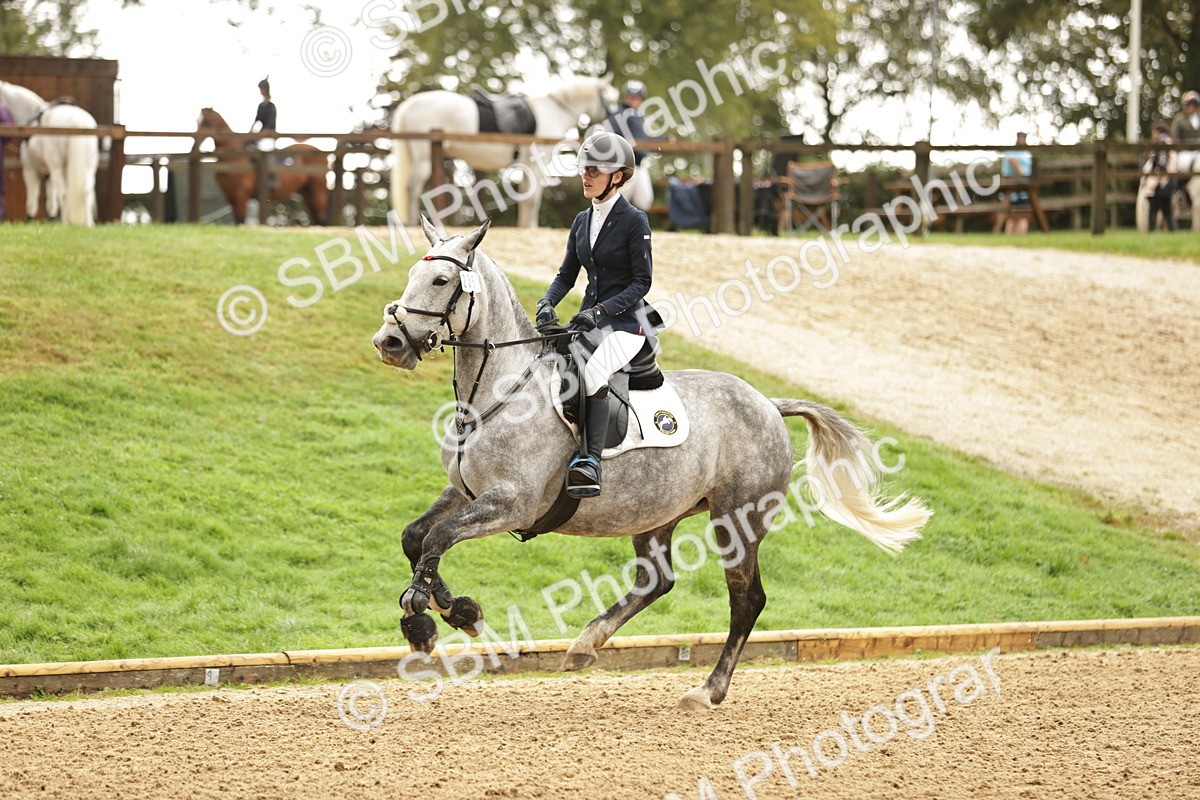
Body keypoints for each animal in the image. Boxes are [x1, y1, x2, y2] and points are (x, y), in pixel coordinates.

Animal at [0, 80, 98, 226]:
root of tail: (76, 122)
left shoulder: (30, 170)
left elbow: (32, 203)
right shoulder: (48, 176)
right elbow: (51, 204)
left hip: (56, 167)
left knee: (64, 194)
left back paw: (66, 224)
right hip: (89, 166)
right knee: (86, 192)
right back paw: (88, 225)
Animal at [194, 108, 329, 226]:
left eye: (207, 122)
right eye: (197, 121)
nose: (195, 143)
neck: (233, 158)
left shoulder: (240, 195)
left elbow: (241, 221)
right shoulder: (229, 195)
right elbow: (237, 221)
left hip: (318, 192)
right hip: (307, 193)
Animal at [370, 217, 932, 709]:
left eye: (441, 280)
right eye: (413, 275)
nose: (389, 342)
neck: (501, 390)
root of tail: (769, 404)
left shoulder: (512, 503)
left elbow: (439, 538)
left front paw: (421, 620)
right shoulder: (465, 493)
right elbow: (415, 537)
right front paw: (457, 610)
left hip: (738, 519)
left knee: (746, 600)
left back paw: (707, 691)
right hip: (657, 513)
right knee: (657, 580)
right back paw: (585, 645)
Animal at [390, 76, 615, 229]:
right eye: (609, 101)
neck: (553, 112)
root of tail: (409, 106)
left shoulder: (527, 166)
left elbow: (526, 196)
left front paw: (524, 226)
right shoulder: (536, 166)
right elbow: (533, 198)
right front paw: (531, 227)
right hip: (423, 159)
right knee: (412, 187)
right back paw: (412, 223)